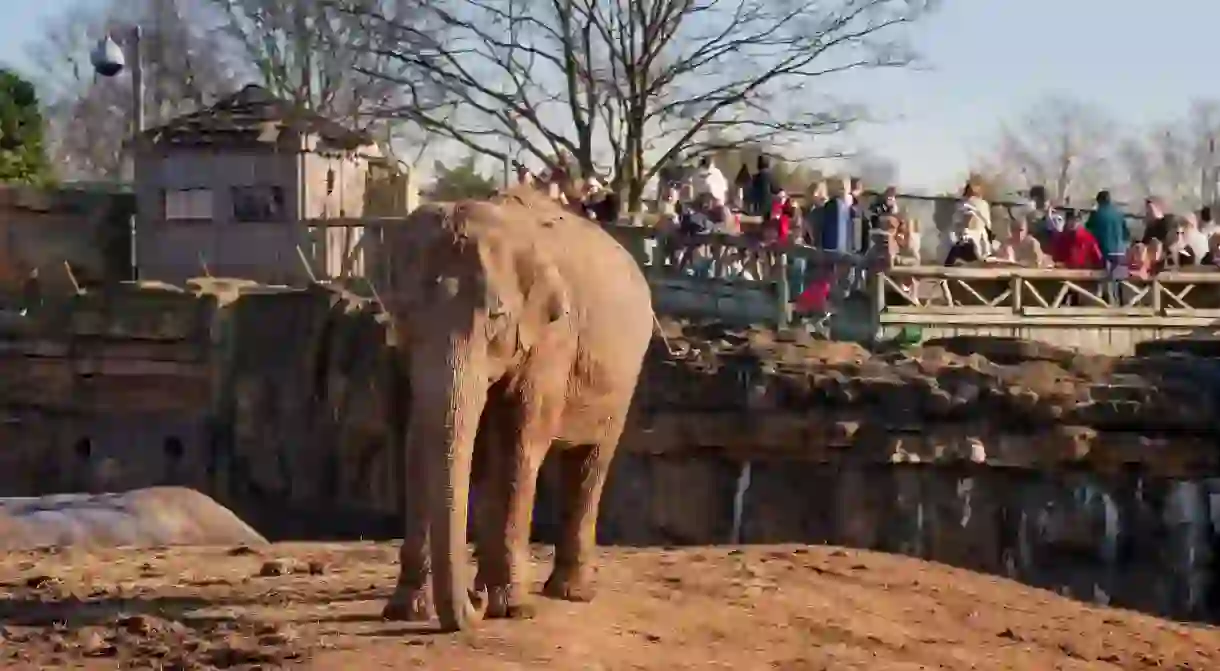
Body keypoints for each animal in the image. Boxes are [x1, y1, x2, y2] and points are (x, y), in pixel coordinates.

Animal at [383, 186, 658, 634]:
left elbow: (519, 445)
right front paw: (406, 610)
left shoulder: (552, 339)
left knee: (590, 463)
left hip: (625, 377)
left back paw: (568, 592)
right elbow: (418, 440)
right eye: (403, 315)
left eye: (496, 317)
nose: (473, 608)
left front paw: (512, 608)